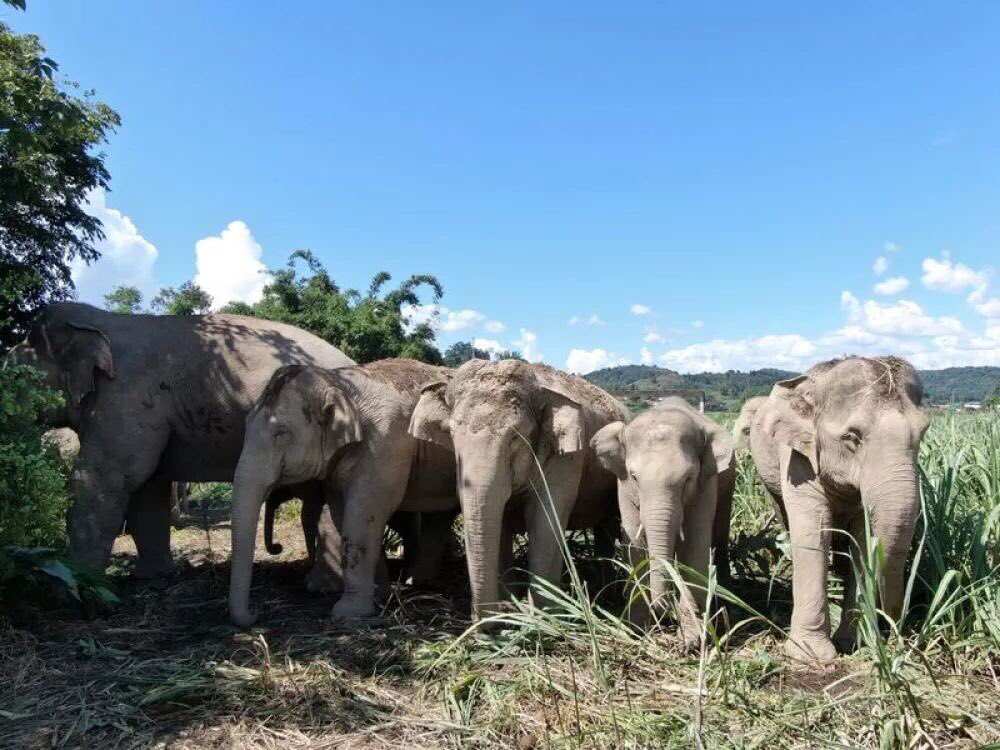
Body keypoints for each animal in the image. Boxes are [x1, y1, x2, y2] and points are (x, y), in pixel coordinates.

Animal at [6, 302, 354, 578]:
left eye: (17, 377)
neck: (100, 320)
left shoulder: (124, 398)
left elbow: (109, 478)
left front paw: (75, 586)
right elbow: (147, 490)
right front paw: (153, 577)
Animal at [228, 359, 459, 628]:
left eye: (280, 432)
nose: (256, 614)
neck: (340, 383)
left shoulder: (385, 446)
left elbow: (363, 515)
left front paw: (349, 613)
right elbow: (342, 514)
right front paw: (379, 595)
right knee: (439, 517)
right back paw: (420, 581)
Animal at [408, 358, 628, 621]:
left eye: (515, 437)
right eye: (450, 434)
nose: (488, 619)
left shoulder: (568, 457)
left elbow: (543, 520)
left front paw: (542, 617)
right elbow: (500, 521)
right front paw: (510, 606)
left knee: (608, 527)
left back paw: (607, 596)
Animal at [590, 398, 734, 649]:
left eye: (688, 478)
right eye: (634, 477)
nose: (664, 614)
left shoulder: (706, 484)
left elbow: (696, 546)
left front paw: (692, 641)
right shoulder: (623, 486)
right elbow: (634, 546)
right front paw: (636, 629)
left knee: (720, 532)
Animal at [749, 356, 928, 661]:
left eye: (923, 433)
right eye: (852, 437)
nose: (897, 630)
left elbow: (861, 542)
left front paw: (853, 644)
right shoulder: (798, 459)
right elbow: (812, 534)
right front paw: (811, 654)